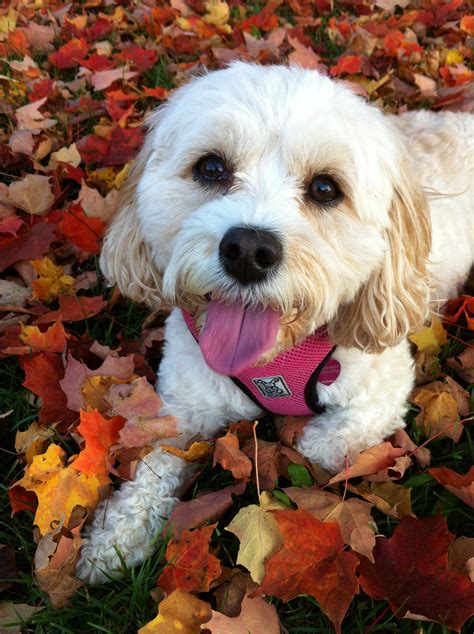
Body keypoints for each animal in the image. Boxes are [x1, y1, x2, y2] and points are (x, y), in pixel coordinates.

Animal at [77, 61, 470, 580]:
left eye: (325, 188)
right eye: (211, 168)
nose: (248, 250)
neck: (275, 355)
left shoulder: (382, 389)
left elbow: (320, 444)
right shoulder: (185, 403)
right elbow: (154, 462)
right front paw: (116, 536)